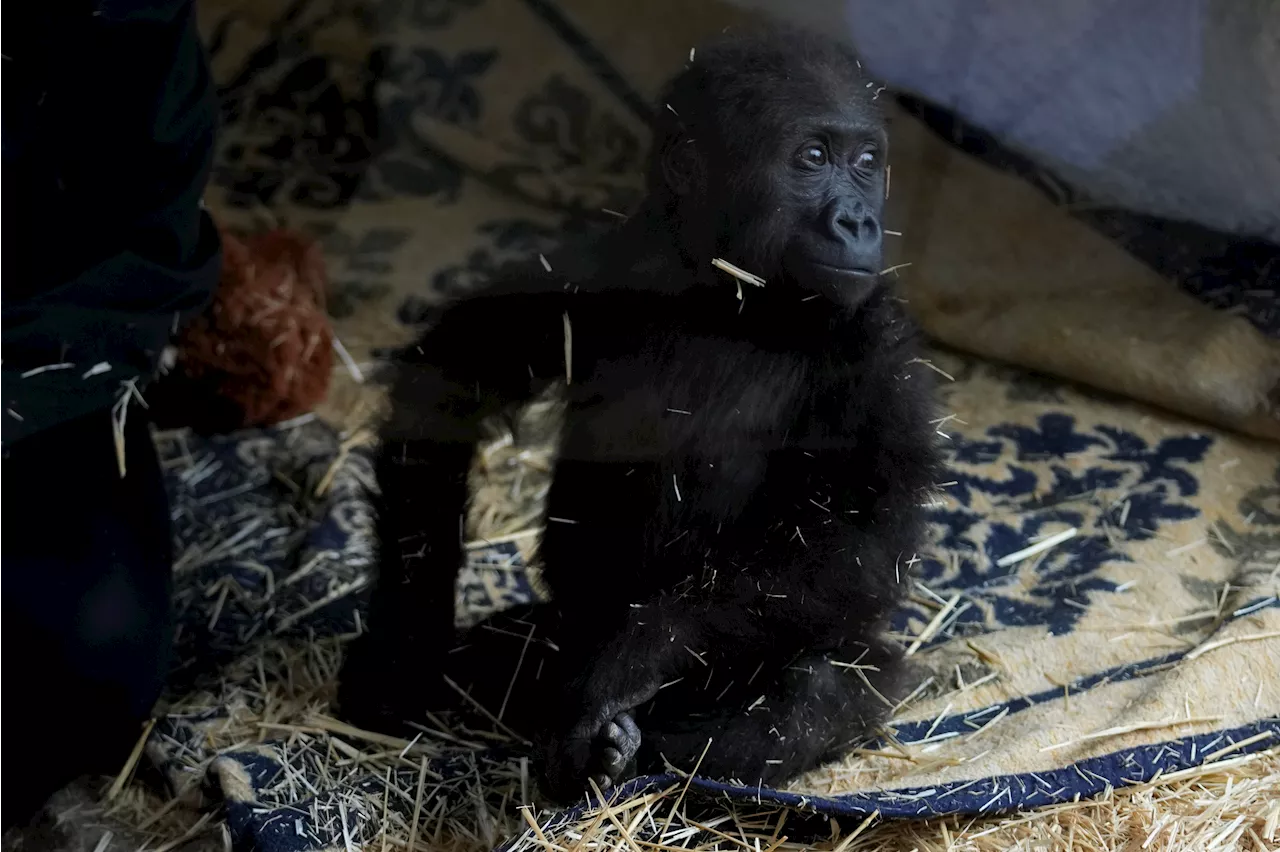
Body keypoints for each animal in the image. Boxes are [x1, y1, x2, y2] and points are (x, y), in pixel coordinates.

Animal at [337, 24, 942, 798]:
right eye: (812, 157)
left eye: (868, 164)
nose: (859, 219)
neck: (730, 294)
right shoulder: (599, 262)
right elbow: (454, 374)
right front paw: (404, 645)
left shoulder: (880, 348)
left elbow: (859, 541)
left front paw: (637, 657)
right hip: (562, 627)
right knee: (509, 651)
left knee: (819, 690)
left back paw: (650, 747)